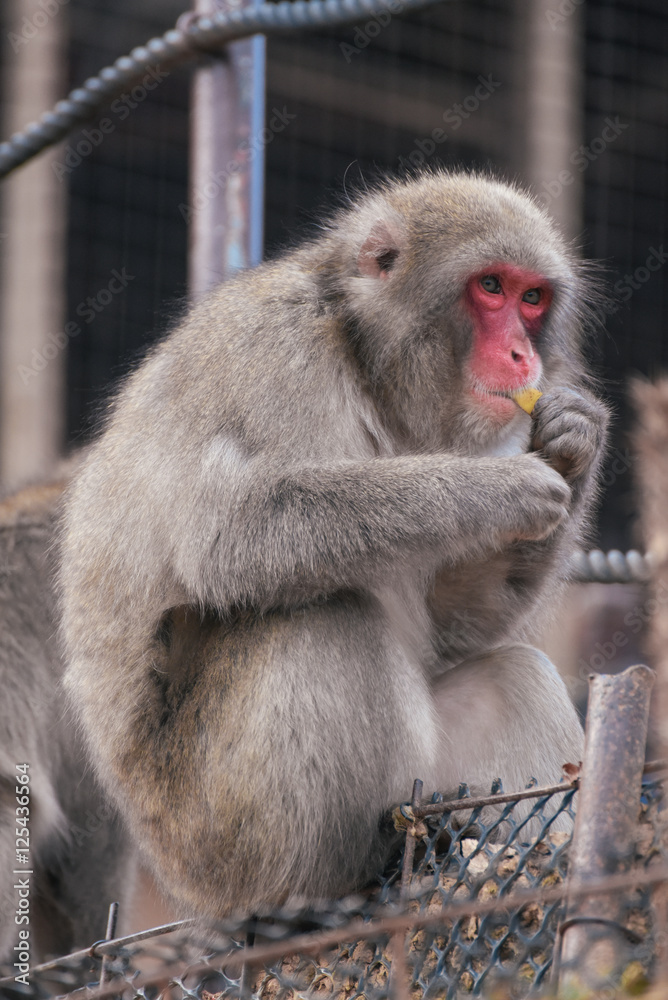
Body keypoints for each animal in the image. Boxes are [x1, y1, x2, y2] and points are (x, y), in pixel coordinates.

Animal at [59, 170, 608, 920]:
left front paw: (574, 441)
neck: (366, 364)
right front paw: (496, 489)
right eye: (490, 286)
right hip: (220, 835)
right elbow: (230, 535)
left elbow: (454, 624)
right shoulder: (271, 350)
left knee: (509, 676)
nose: (523, 353)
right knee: (321, 612)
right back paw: (334, 881)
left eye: (533, 298)